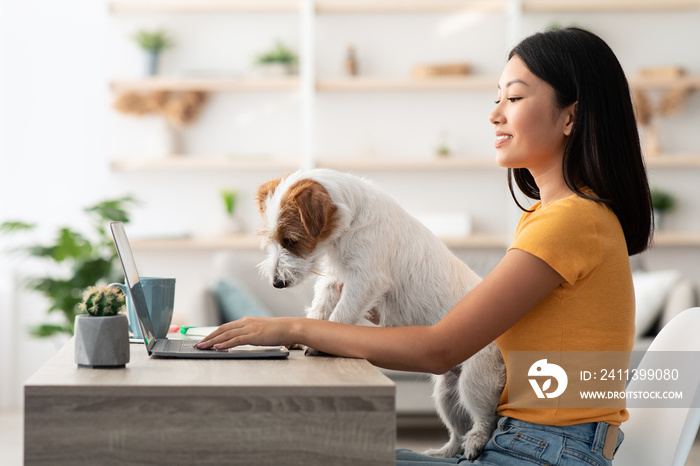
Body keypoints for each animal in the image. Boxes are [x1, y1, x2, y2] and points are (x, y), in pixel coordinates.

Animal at [254, 167, 506, 458]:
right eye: (272, 240)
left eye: (291, 240)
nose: (277, 283)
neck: (351, 222)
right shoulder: (334, 281)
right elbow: (319, 309)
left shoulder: (364, 281)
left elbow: (339, 316)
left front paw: (319, 345)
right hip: (446, 393)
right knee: (456, 432)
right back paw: (440, 453)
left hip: (473, 381)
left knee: (486, 419)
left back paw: (475, 441)